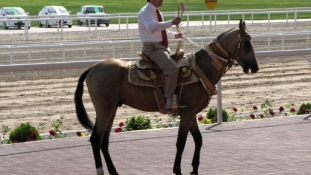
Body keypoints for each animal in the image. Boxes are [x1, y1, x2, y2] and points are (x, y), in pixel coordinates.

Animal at [75, 19, 258, 175]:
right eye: (246, 43)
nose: (255, 67)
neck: (200, 69)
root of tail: (92, 68)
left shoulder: (190, 113)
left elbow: (198, 139)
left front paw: (194, 169)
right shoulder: (187, 113)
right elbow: (181, 142)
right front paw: (177, 170)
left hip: (112, 109)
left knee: (104, 141)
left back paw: (114, 171)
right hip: (104, 109)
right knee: (96, 139)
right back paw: (101, 170)